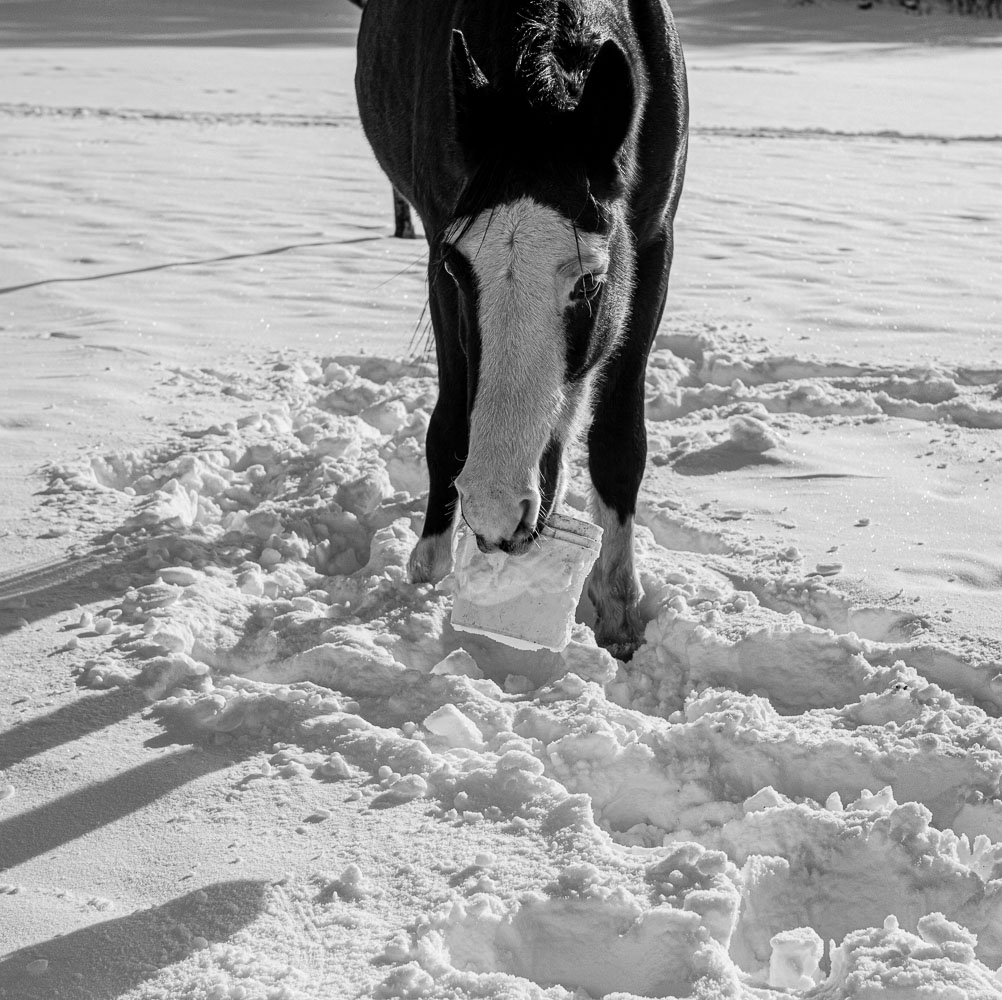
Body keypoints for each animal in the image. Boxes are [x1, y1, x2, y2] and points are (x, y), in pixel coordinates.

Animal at [358, 0, 689, 661]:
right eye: (458, 269)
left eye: (590, 281)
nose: (495, 511)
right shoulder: (438, 246)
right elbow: (449, 421)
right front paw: (428, 569)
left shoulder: (652, 245)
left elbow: (619, 441)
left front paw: (620, 611)